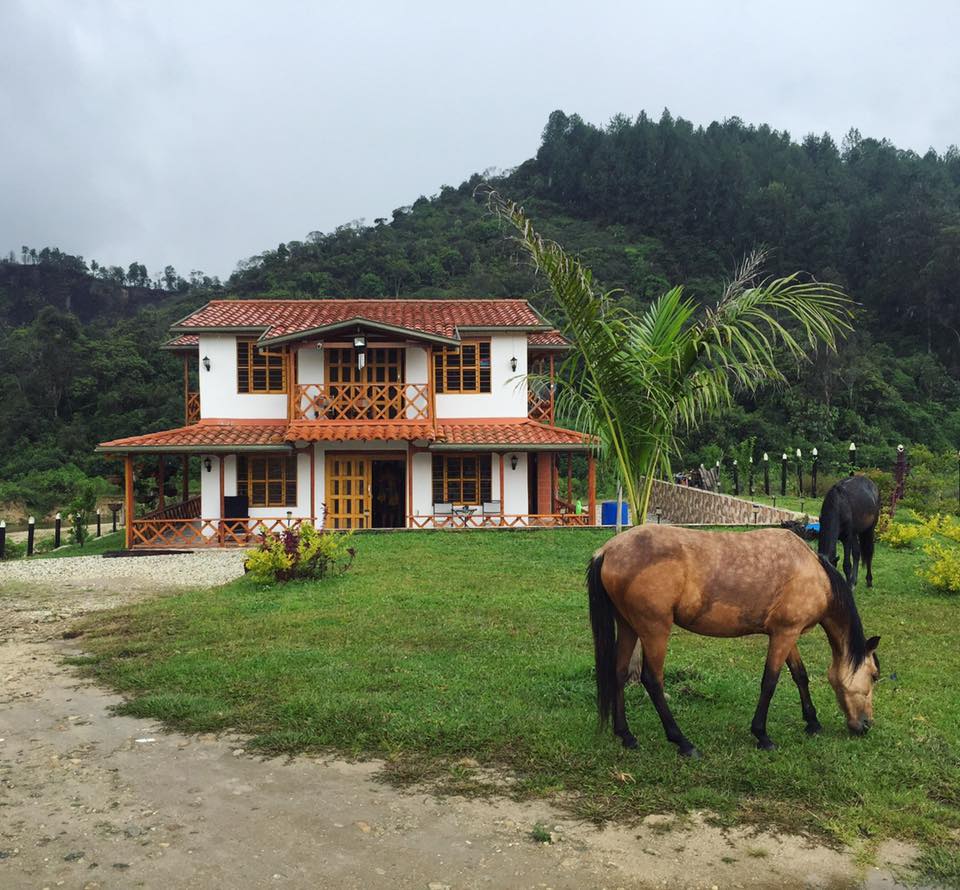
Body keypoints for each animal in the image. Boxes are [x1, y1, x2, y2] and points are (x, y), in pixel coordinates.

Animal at [580, 528, 880, 756]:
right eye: (874, 675)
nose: (866, 725)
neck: (815, 574)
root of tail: (607, 550)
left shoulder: (785, 633)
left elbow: (799, 675)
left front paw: (813, 722)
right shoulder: (785, 634)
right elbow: (770, 682)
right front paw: (762, 735)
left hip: (628, 625)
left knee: (619, 673)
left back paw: (626, 736)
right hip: (654, 630)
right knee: (652, 680)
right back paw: (683, 743)